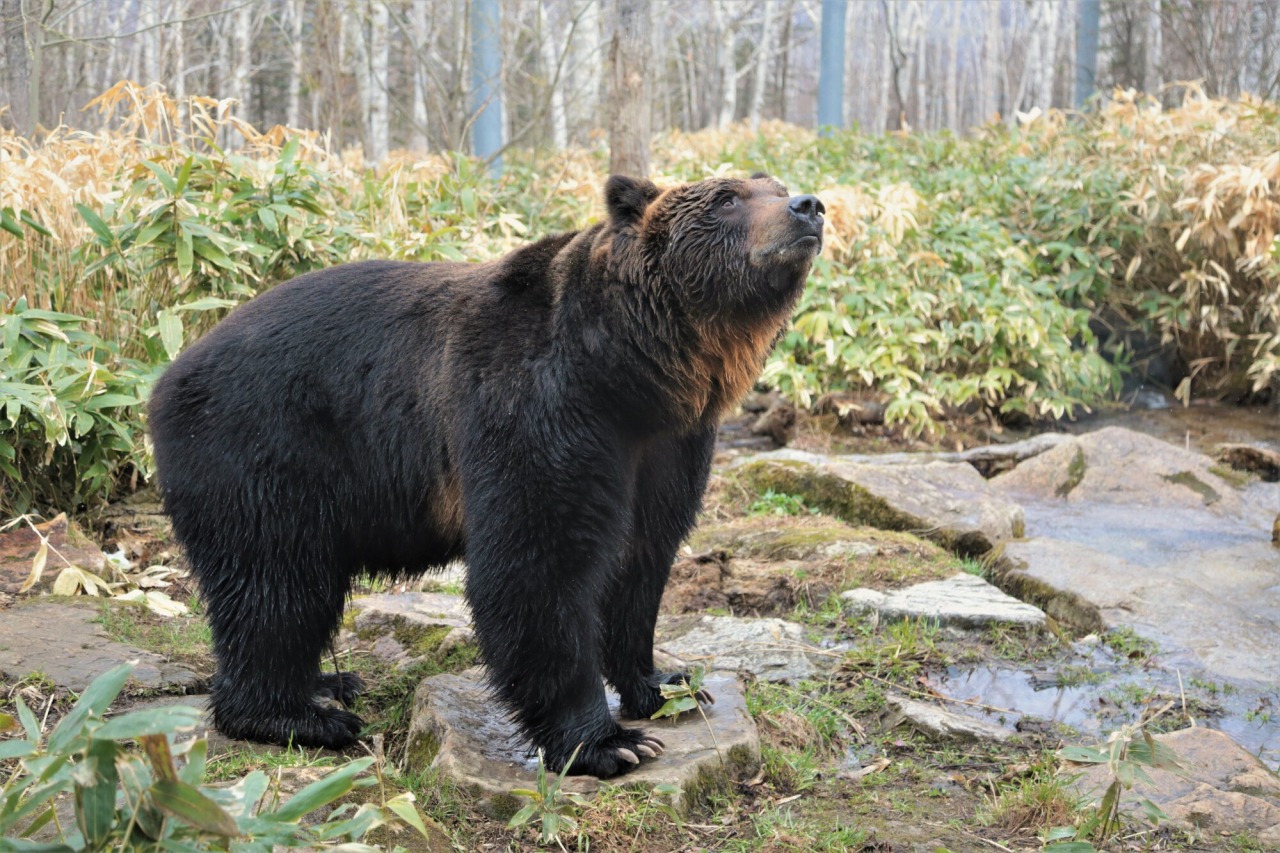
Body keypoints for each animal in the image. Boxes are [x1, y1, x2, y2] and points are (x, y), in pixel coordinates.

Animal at [147, 169, 829, 773]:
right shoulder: (535, 404)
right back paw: (299, 715)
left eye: (770, 184)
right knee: (276, 582)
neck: (629, 370)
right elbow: (539, 562)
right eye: (727, 197)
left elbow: (642, 558)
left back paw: (331, 682)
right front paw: (606, 743)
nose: (809, 205)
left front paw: (667, 679)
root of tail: (166, 374)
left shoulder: (668, 444)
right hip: (267, 449)